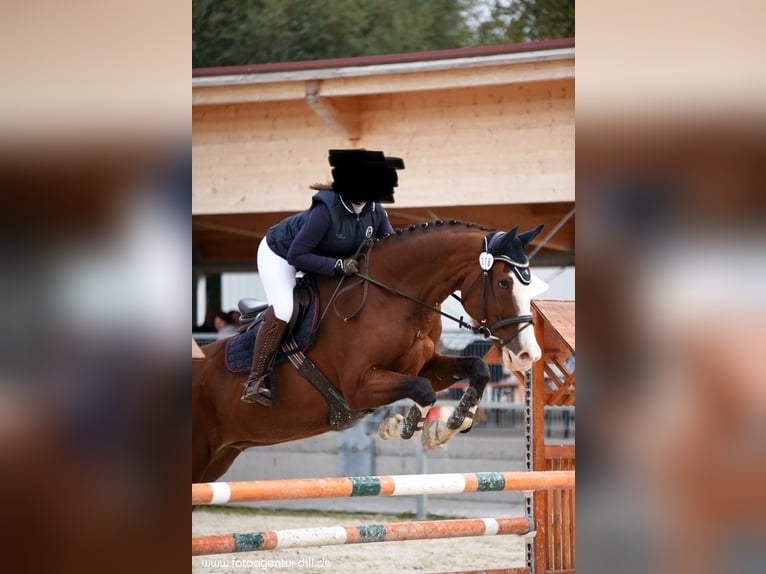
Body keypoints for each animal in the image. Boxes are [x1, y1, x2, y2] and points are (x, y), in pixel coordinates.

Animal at [195, 220, 548, 486]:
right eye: (503, 284)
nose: (528, 355)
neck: (395, 298)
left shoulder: (423, 364)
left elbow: (476, 368)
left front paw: (447, 427)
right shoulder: (357, 387)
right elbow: (423, 390)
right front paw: (404, 426)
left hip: (219, 457)